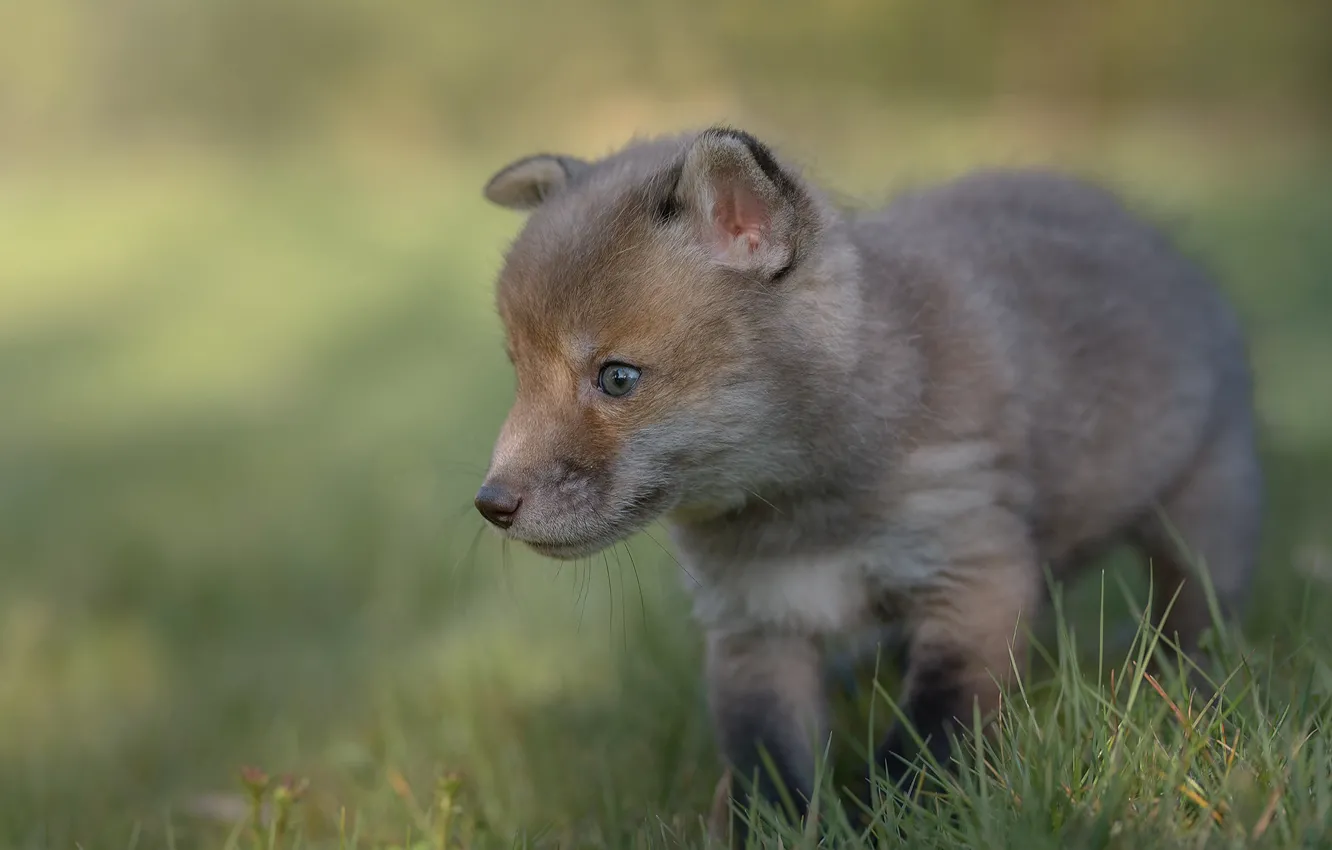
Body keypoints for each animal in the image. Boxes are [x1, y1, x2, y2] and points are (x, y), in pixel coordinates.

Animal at [473, 126, 1263, 844]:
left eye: (616, 378)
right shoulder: (755, 626)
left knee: (1199, 623)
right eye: (519, 371)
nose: (492, 505)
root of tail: (1132, 218)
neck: (805, 513)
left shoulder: (974, 576)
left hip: (1200, 519)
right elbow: (767, 776)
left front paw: (889, 822)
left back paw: (1193, 691)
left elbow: (924, 743)